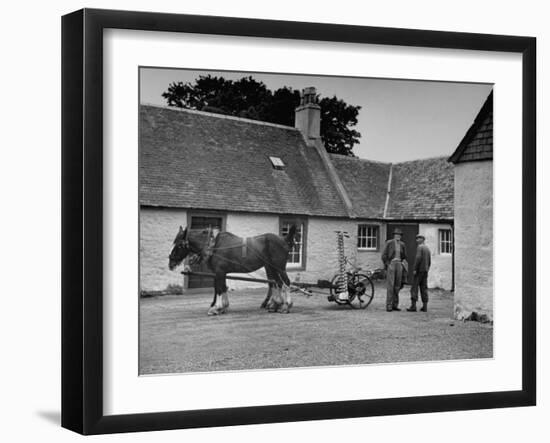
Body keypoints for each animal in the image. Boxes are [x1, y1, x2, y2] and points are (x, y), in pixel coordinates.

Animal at [168, 225, 298, 316]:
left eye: (179, 244)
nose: (171, 262)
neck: (214, 246)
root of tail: (283, 240)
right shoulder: (222, 273)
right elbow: (223, 287)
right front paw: (224, 307)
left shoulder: (219, 272)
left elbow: (219, 289)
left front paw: (217, 308)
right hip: (271, 267)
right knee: (278, 283)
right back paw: (276, 305)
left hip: (279, 267)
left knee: (286, 283)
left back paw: (286, 306)